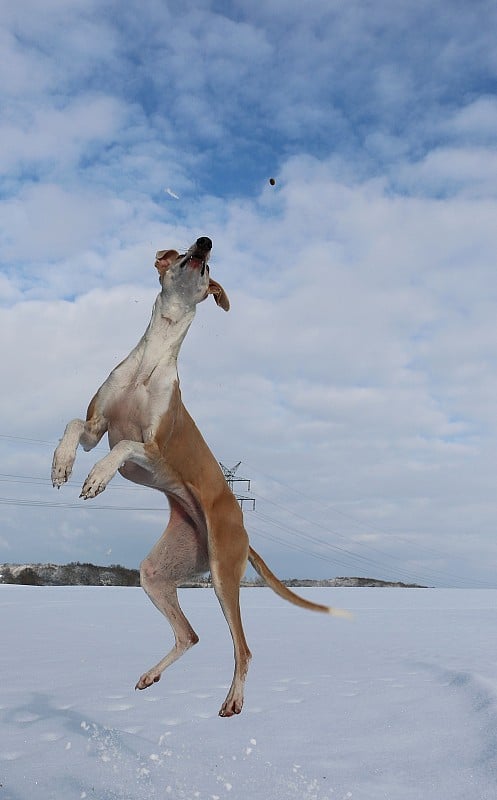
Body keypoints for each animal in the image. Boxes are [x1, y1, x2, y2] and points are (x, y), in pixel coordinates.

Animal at [51, 234, 344, 716]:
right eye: (188, 254)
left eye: (207, 268)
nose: (205, 242)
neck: (151, 359)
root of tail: (243, 529)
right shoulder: (98, 429)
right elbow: (75, 424)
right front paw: (62, 464)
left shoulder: (153, 451)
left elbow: (126, 447)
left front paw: (95, 478)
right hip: (160, 570)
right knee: (190, 634)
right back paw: (151, 675)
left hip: (224, 575)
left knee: (243, 648)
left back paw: (234, 700)